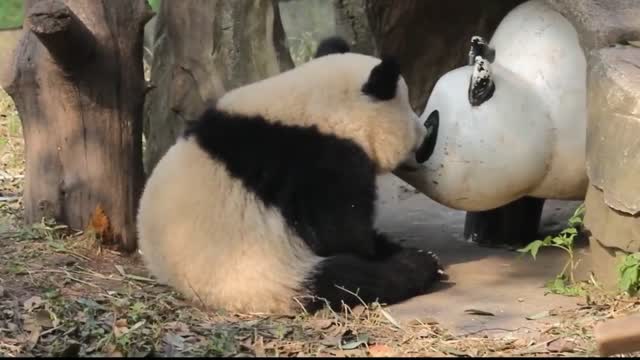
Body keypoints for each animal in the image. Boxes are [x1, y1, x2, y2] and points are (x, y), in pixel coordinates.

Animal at [136, 35, 444, 312]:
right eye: (409, 110)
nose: (425, 136)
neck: (320, 104)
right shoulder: (321, 161)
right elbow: (342, 232)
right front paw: (380, 248)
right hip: (267, 273)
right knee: (347, 279)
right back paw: (418, 264)